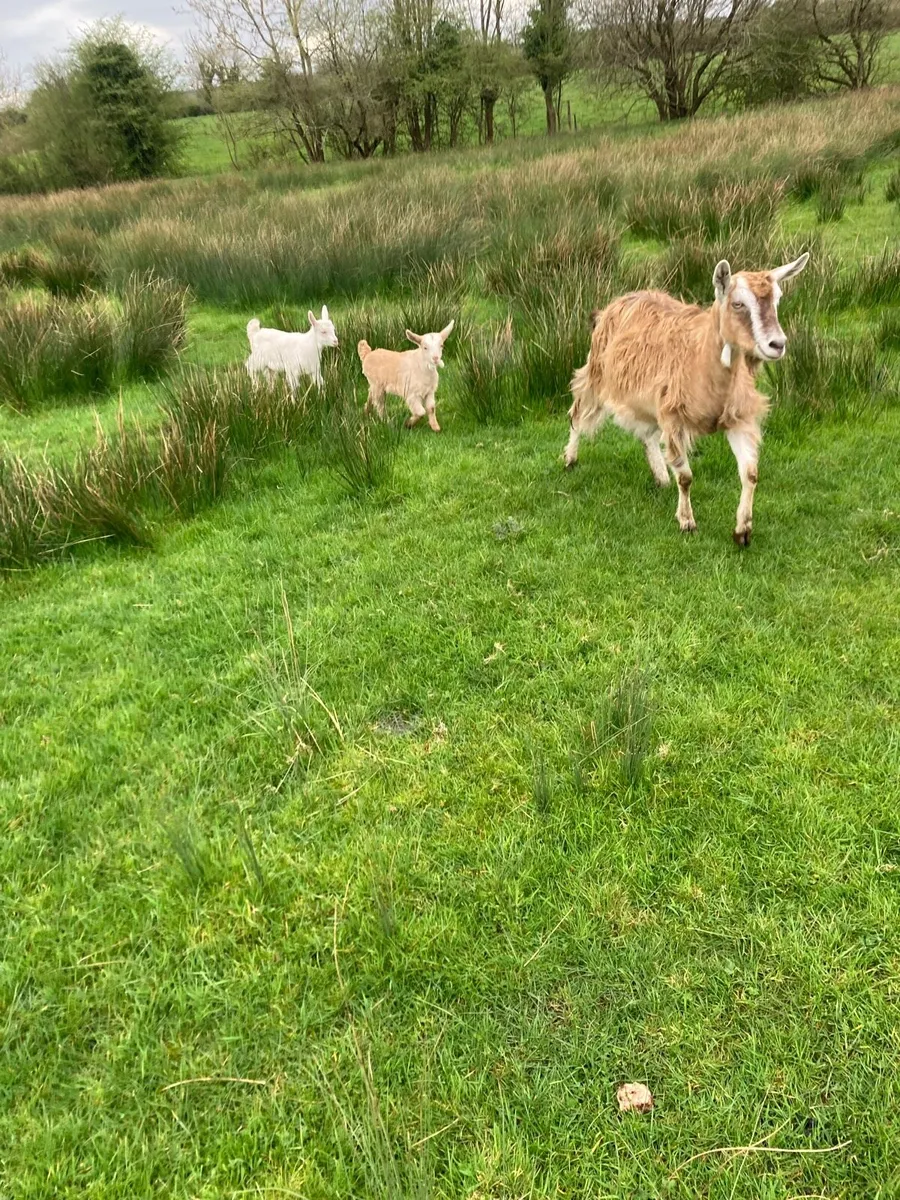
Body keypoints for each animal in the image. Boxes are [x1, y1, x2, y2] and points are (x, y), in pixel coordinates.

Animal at [563, 254, 808, 545]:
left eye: (777, 299)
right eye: (738, 303)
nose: (777, 344)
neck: (702, 363)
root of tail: (612, 305)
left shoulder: (739, 417)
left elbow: (750, 473)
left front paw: (743, 530)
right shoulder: (674, 417)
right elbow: (686, 477)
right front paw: (687, 522)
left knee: (646, 435)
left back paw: (660, 477)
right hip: (597, 374)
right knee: (578, 412)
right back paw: (570, 459)